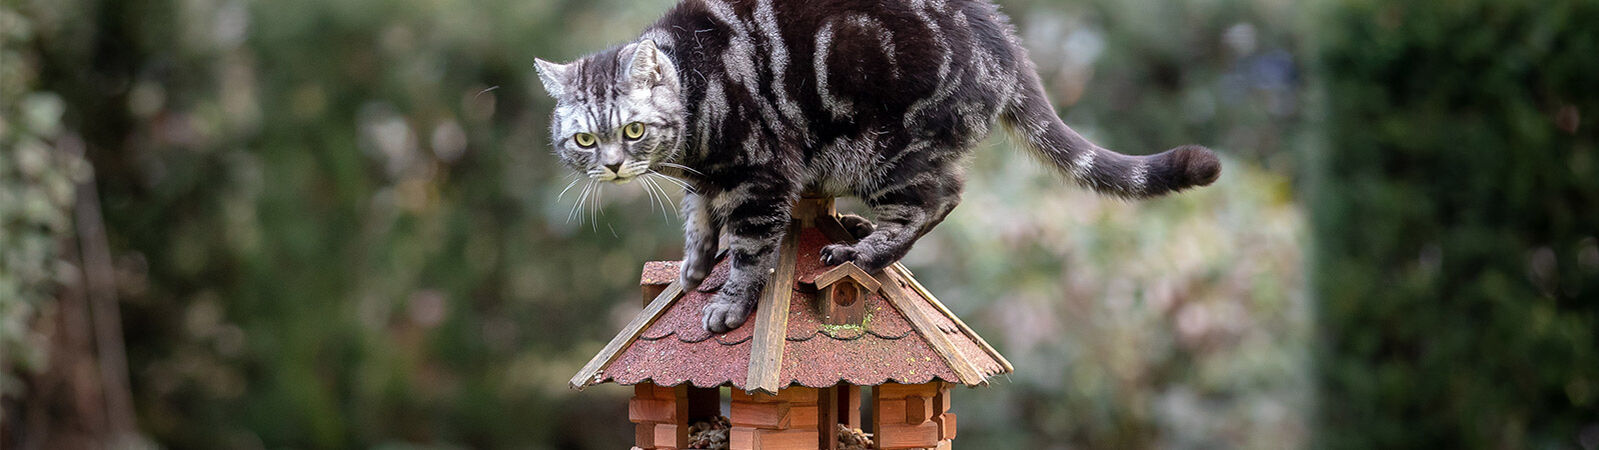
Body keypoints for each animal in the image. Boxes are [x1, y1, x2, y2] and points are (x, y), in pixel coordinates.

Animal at [530, 0, 1215, 331]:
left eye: (633, 130)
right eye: (585, 140)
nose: (613, 166)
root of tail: (1006, 44)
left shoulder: (762, 178)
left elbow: (749, 252)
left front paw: (728, 303)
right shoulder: (710, 184)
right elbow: (698, 221)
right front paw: (695, 266)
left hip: (883, 154)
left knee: (942, 195)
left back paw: (864, 252)